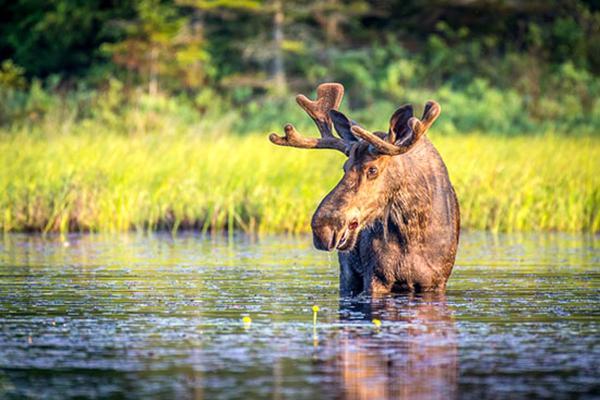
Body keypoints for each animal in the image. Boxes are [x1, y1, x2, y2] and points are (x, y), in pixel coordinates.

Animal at [268, 82, 460, 294]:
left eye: (372, 169)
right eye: (344, 167)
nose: (322, 228)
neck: (413, 230)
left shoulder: (436, 282)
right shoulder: (376, 277)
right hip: (347, 274)